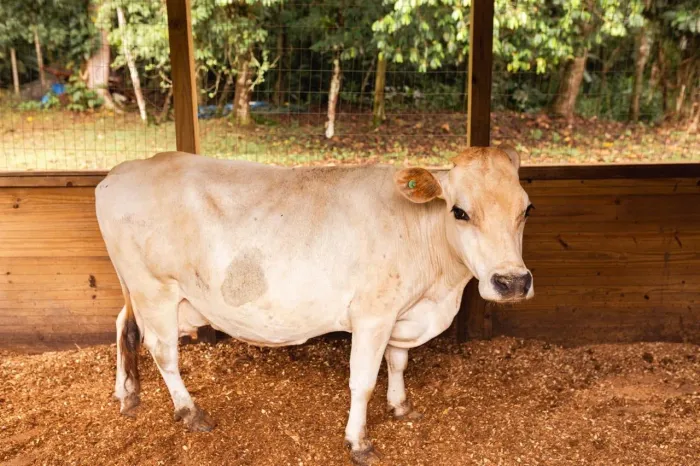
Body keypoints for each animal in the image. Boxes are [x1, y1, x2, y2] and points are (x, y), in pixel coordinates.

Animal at [95, 145, 534, 464]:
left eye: (526, 209)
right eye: (459, 211)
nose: (512, 281)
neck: (439, 290)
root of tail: (120, 172)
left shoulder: (401, 312)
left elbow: (398, 361)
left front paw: (401, 406)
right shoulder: (373, 313)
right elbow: (363, 380)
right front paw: (359, 442)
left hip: (134, 288)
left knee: (122, 326)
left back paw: (127, 395)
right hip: (155, 289)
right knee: (162, 350)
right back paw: (190, 412)